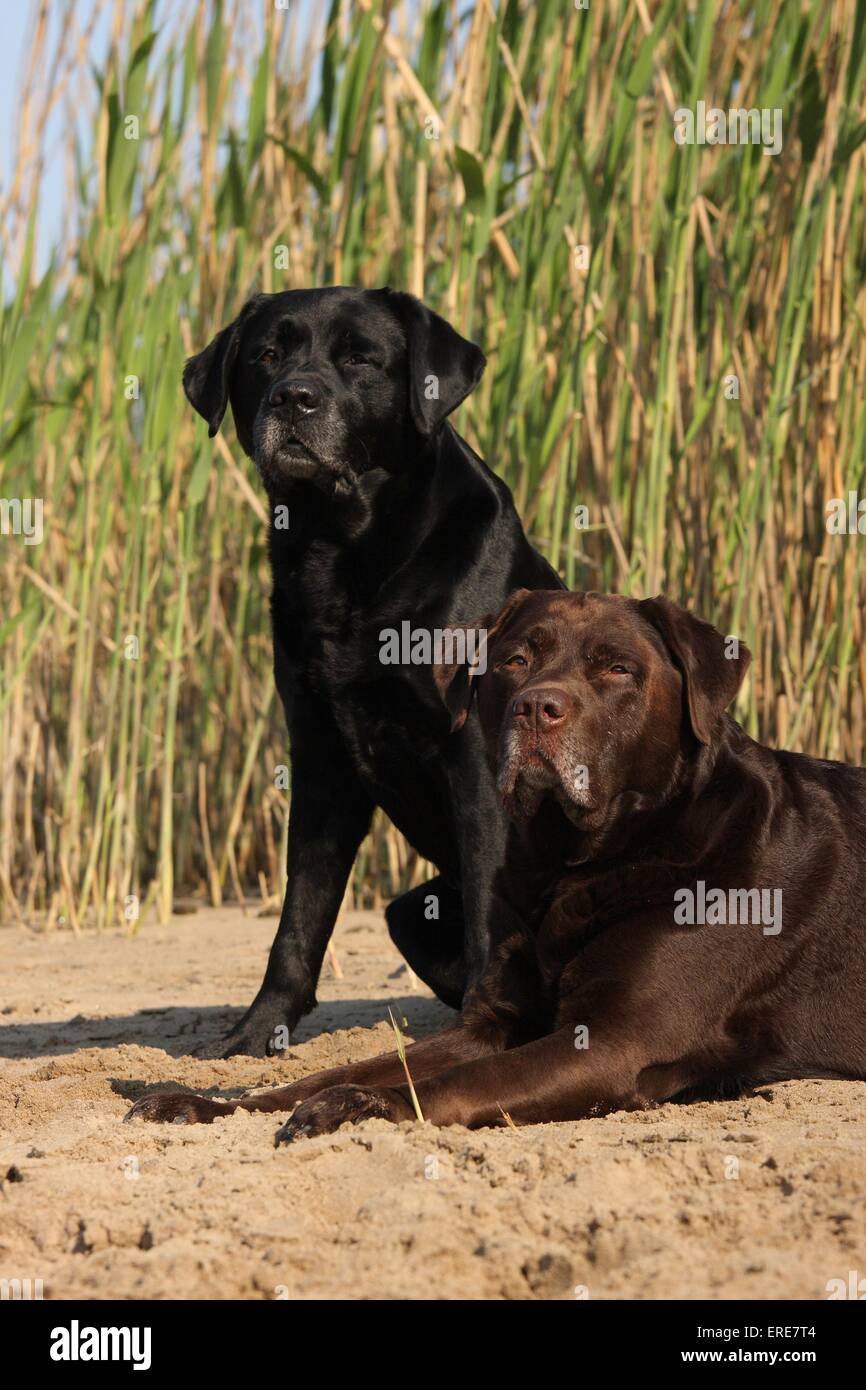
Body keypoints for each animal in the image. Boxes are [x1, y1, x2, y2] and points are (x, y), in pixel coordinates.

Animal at [184, 290, 561, 1050]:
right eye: (266, 354)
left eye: (361, 357)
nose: (294, 397)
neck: (341, 545)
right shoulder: (321, 755)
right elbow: (300, 914)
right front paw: (256, 1033)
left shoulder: (477, 756)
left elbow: (488, 903)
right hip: (409, 911)